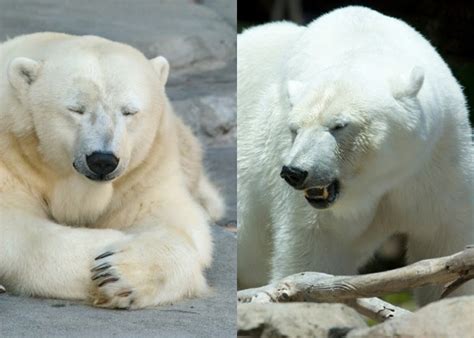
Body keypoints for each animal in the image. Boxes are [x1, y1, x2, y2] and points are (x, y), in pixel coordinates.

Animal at [0, 32, 225, 308]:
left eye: (129, 111)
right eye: (76, 109)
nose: (102, 160)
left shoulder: (145, 168)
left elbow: (173, 219)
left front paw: (119, 271)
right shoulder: (12, 157)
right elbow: (17, 225)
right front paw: (105, 245)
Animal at [237, 6, 474, 304]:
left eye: (339, 125)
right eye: (294, 129)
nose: (294, 172)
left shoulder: (437, 159)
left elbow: (445, 241)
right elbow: (313, 256)